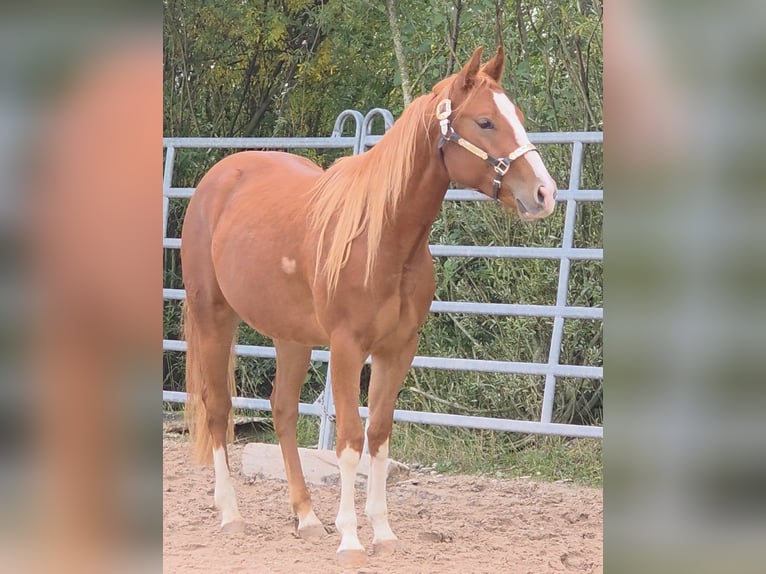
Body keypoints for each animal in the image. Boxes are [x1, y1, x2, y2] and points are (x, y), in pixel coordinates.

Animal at [181, 46, 557, 567]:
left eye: (517, 117)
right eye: (485, 121)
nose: (544, 193)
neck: (384, 238)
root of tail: (218, 180)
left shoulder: (397, 349)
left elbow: (378, 434)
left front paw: (382, 531)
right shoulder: (346, 348)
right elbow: (349, 442)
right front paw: (351, 540)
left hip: (290, 335)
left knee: (282, 411)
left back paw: (306, 518)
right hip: (214, 316)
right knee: (217, 409)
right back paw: (232, 516)